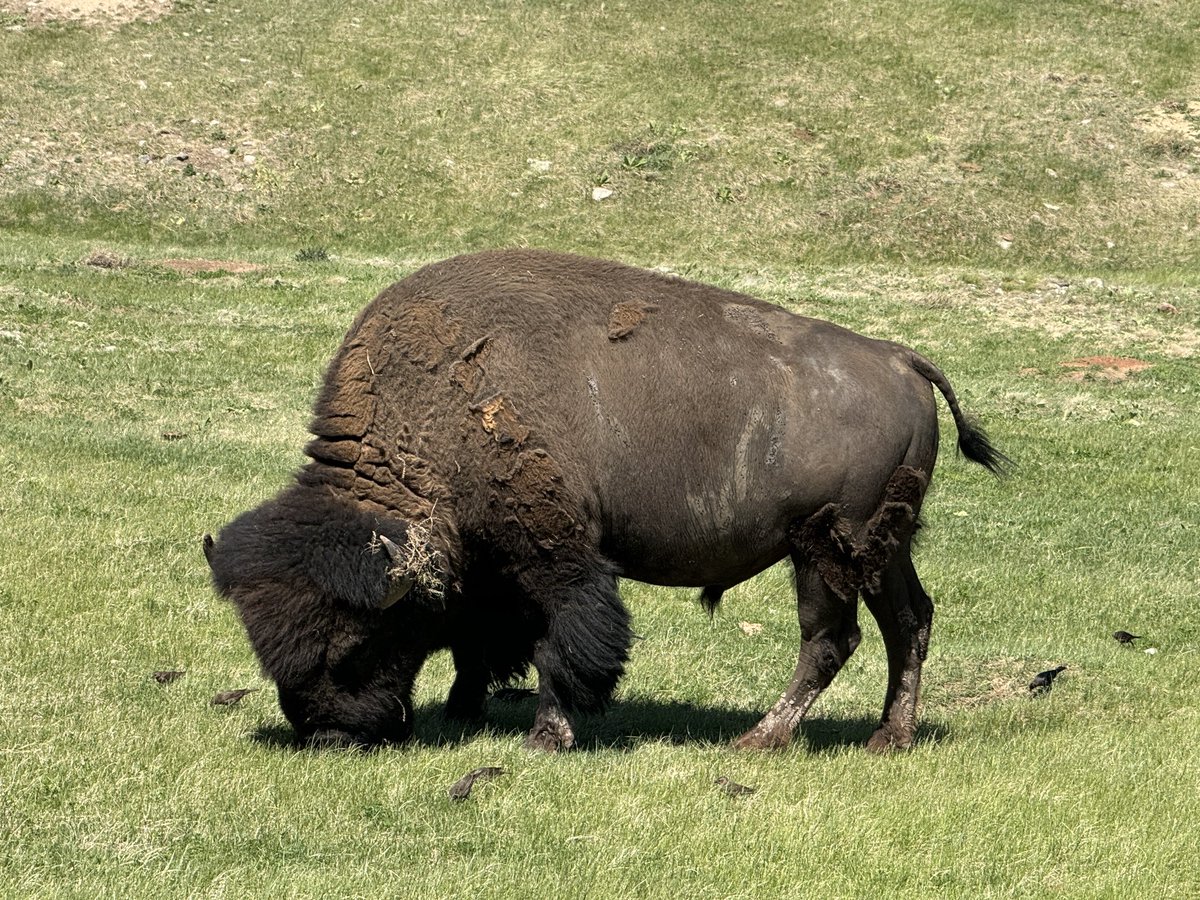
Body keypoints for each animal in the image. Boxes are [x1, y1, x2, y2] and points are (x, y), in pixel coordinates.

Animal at [203, 249, 1007, 754]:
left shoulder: (559, 554)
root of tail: (900, 359)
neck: (430, 410)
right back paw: (888, 739)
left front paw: (546, 736)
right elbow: (479, 640)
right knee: (910, 622)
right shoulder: (491, 563)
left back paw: (760, 740)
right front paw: (466, 707)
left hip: (825, 550)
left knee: (832, 639)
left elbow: (562, 643)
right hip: (886, 546)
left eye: (351, 644)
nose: (328, 736)